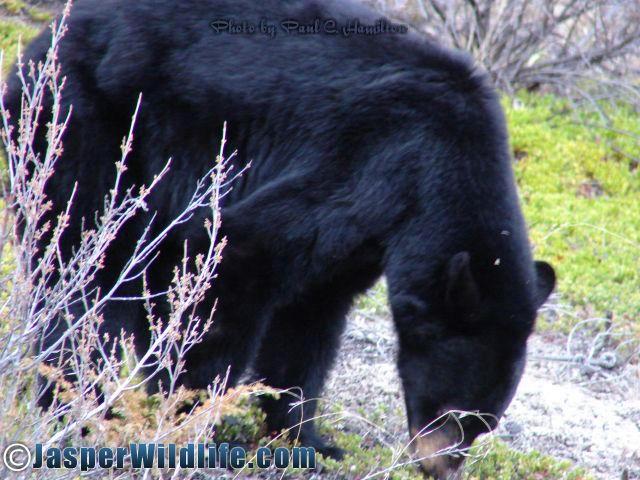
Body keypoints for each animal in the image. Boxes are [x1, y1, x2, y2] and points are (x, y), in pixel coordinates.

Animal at [6, 0, 556, 476]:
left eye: (485, 425)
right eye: (453, 412)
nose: (437, 468)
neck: (446, 161)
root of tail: (46, 37)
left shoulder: (371, 232)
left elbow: (311, 315)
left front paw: (307, 439)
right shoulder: (372, 160)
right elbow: (236, 255)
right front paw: (192, 416)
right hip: (90, 122)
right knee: (81, 265)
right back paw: (76, 405)